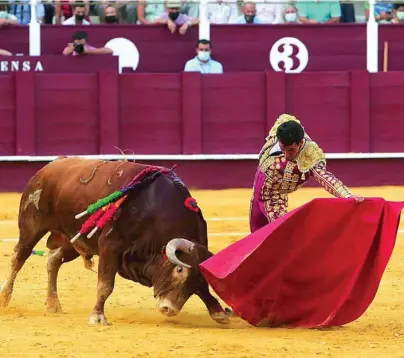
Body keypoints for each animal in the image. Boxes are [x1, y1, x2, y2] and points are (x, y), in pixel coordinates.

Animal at [0, 156, 229, 324]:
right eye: (179, 270)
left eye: (198, 277)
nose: (169, 309)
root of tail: (50, 166)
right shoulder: (110, 246)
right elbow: (105, 284)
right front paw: (98, 316)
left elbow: (204, 290)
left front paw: (218, 311)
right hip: (31, 226)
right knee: (19, 257)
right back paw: (4, 298)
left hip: (73, 238)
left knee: (53, 260)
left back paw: (52, 303)